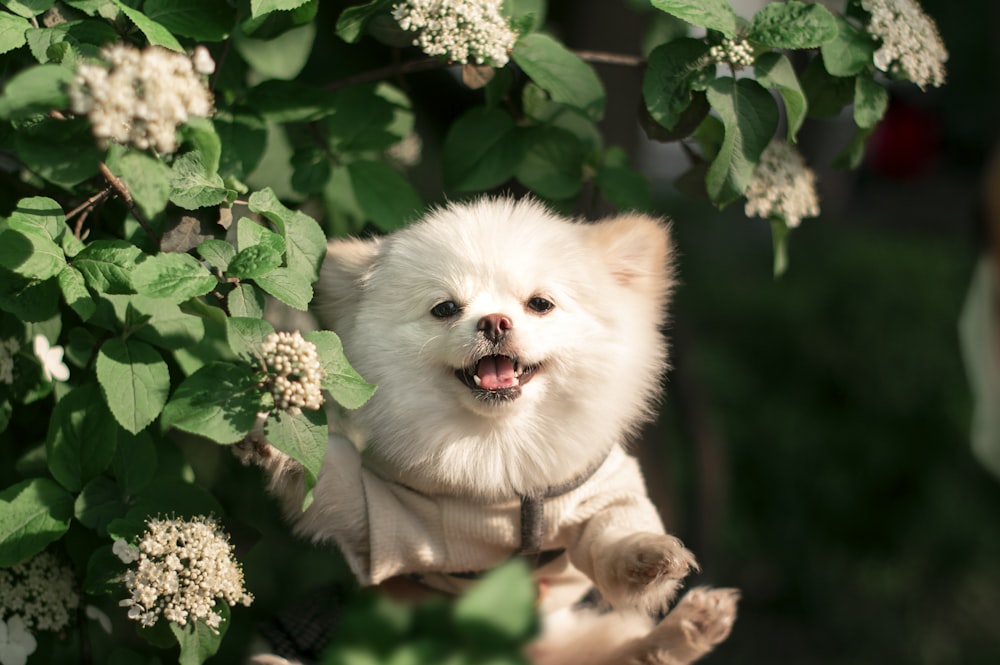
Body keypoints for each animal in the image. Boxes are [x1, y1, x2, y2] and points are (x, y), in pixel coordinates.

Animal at [246, 197, 740, 664]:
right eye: (445, 308)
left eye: (540, 304)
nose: (495, 321)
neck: (500, 446)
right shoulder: (383, 514)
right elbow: (333, 478)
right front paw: (275, 434)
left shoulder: (598, 495)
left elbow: (614, 537)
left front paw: (650, 556)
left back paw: (688, 629)